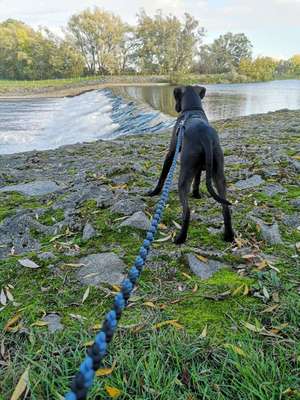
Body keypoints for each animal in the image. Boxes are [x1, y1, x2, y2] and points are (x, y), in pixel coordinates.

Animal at [148, 85, 234, 244]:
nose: (176, 108)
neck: (193, 110)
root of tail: (205, 137)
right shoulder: (198, 168)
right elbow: (198, 180)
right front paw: (196, 194)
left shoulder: (171, 153)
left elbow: (163, 175)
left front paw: (154, 192)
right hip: (219, 175)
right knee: (225, 208)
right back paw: (229, 236)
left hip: (184, 177)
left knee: (186, 211)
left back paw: (180, 238)